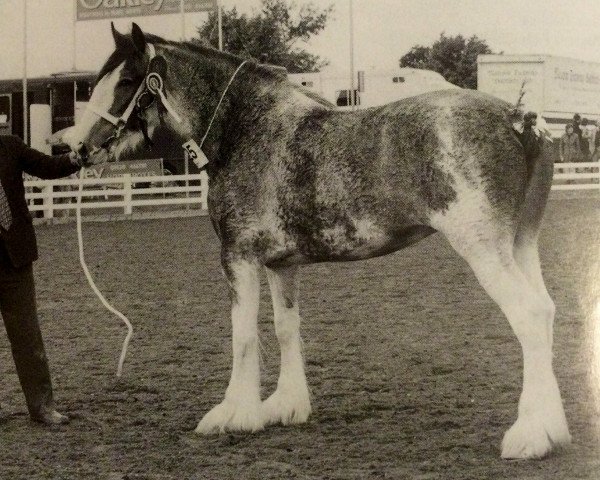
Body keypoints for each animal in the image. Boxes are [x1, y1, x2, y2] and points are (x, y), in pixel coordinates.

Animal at [64, 24, 572, 460]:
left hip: (484, 249)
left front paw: (235, 414)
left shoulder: (239, 258)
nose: (77, 149)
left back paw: (528, 436)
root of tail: (518, 118)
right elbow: (286, 329)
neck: (247, 130)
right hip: (521, 244)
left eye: (128, 81)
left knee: (529, 317)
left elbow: (243, 336)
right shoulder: (281, 264)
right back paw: (553, 430)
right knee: (545, 313)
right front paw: (285, 406)